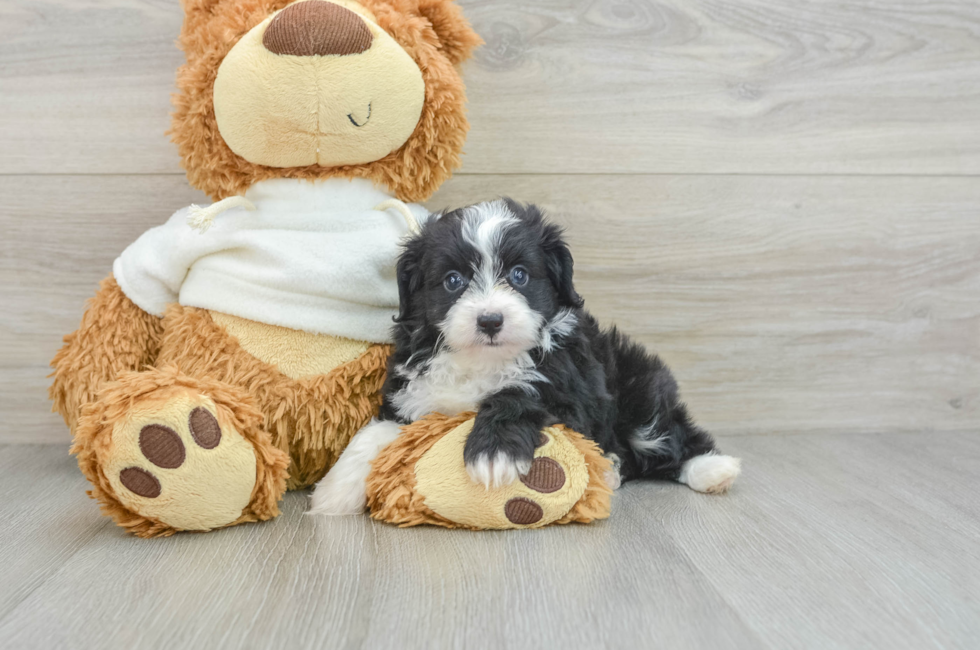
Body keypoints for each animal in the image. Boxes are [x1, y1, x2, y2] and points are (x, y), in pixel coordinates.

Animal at [310, 197, 740, 512]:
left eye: (519, 275)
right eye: (453, 281)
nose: (490, 320)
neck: (481, 360)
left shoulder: (570, 391)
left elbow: (519, 393)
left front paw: (493, 453)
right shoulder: (411, 391)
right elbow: (374, 432)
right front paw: (335, 490)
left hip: (641, 387)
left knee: (668, 436)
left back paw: (710, 468)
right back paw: (613, 470)